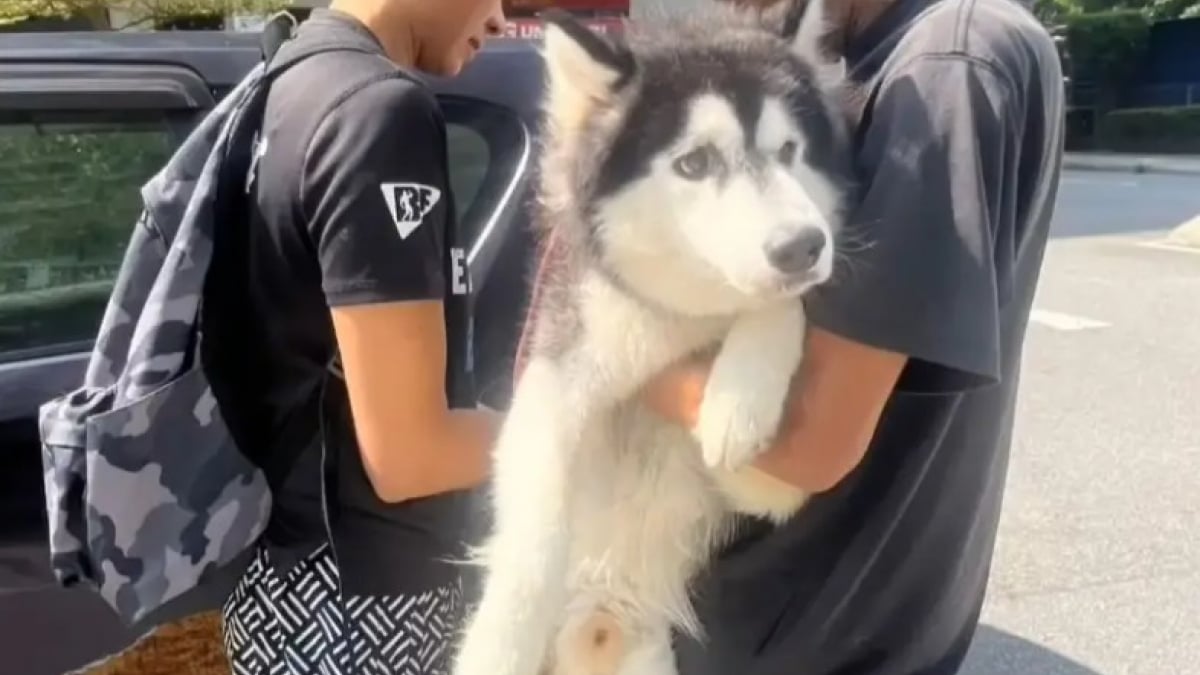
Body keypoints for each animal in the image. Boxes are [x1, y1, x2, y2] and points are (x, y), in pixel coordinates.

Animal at [451, 5, 854, 672]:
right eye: (695, 163)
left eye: (789, 150)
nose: (803, 246)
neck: (678, 322)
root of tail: (595, 631)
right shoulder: (551, 380)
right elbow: (534, 539)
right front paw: (500, 644)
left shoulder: (772, 486)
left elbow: (777, 313)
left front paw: (738, 398)